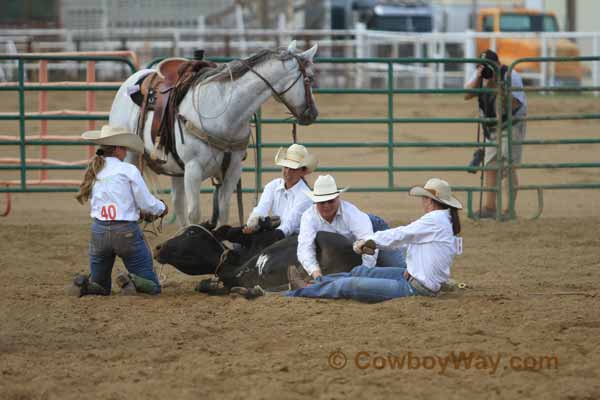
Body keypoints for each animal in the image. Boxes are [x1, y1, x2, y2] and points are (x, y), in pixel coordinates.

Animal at [108, 42, 318, 228]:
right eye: (310, 78)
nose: (313, 113)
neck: (225, 113)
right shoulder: (193, 169)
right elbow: (194, 214)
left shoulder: (232, 170)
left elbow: (223, 211)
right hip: (131, 156)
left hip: (177, 168)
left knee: (178, 203)